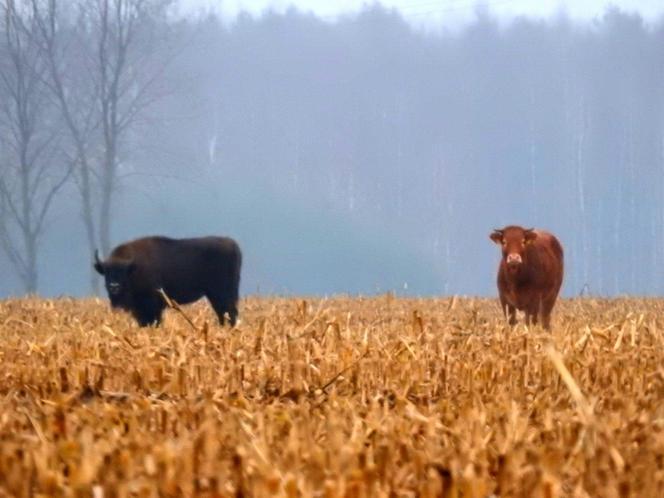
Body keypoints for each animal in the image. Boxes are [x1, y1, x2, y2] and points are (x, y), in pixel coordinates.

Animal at [92, 236, 240, 326]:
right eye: (106, 272)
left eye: (123, 272)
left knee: (229, 313)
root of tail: (233, 245)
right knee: (224, 313)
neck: (133, 268)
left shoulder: (152, 306)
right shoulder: (139, 310)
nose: (114, 287)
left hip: (221, 293)